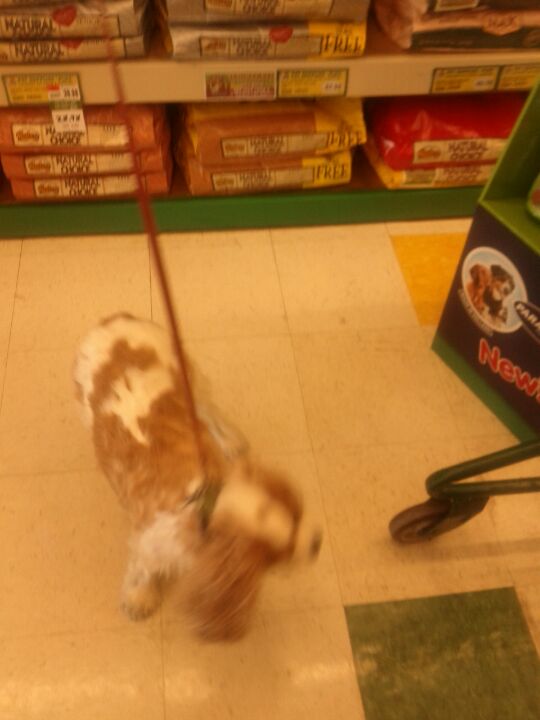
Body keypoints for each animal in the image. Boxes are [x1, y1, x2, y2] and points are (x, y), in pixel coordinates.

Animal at [74, 314, 322, 641]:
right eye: (276, 555)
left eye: (295, 517)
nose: (317, 542)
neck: (205, 502)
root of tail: (114, 320)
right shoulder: (149, 541)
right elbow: (142, 568)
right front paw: (139, 597)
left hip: (191, 379)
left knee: (209, 411)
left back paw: (230, 441)